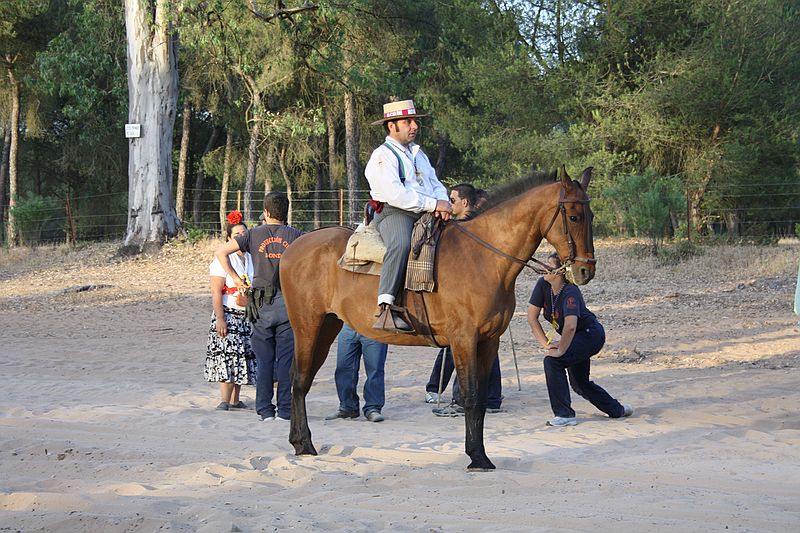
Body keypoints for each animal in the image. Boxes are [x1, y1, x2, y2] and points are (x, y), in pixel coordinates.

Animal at [279, 165, 596, 471]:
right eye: (574, 216)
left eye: (590, 215)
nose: (586, 271)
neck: (482, 258)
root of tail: (295, 247)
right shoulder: (463, 340)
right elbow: (470, 396)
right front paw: (477, 457)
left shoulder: (489, 340)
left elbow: (481, 399)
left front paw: (479, 453)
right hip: (307, 326)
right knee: (299, 379)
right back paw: (304, 444)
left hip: (327, 326)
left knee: (303, 378)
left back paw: (299, 441)